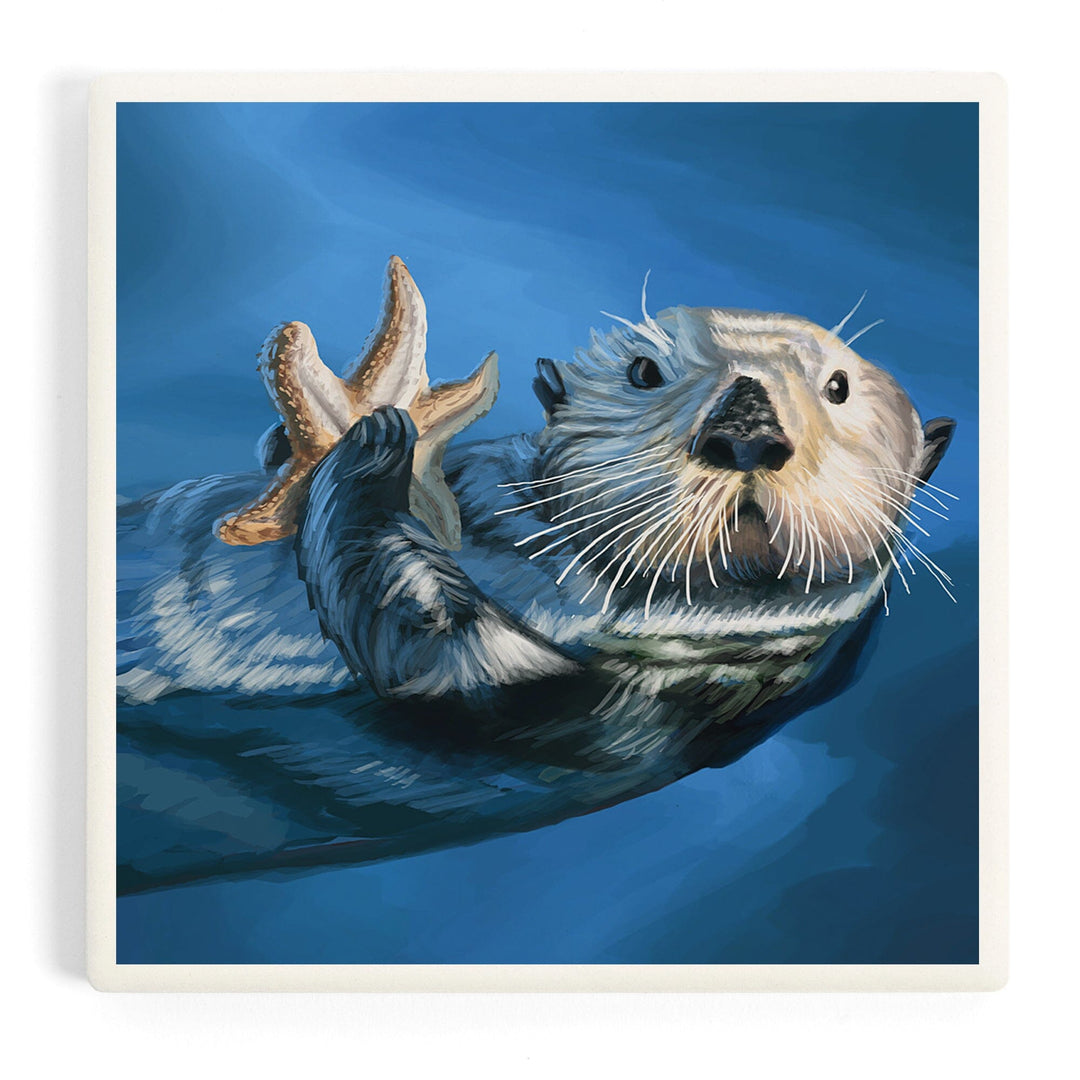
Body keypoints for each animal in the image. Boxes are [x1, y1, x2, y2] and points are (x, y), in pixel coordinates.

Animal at [116, 259, 955, 892]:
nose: (744, 430)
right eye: (644, 372)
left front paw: (375, 442)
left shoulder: (611, 710)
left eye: (839, 388)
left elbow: (437, 653)